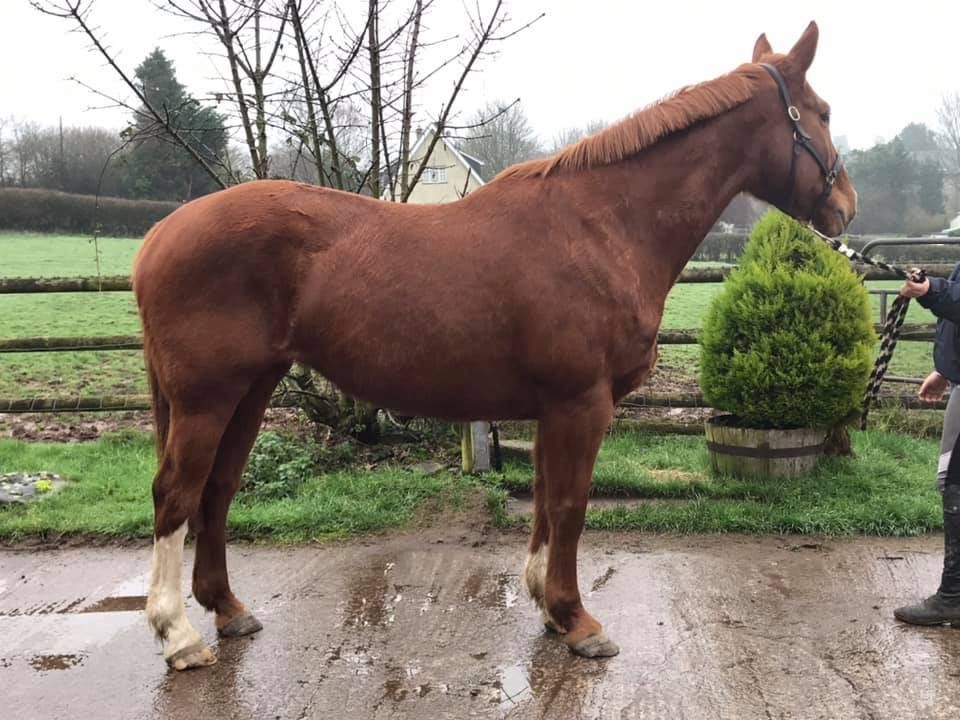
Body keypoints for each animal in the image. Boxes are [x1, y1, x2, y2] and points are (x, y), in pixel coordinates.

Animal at [134, 21, 856, 670]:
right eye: (820, 113)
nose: (845, 206)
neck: (603, 225)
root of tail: (159, 235)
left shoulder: (552, 408)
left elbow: (543, 498)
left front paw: (547, 605)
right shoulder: (581, 403)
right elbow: (569, 504)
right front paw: (577, 619)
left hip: (251, 390)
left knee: (218, 489)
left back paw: (227, 610)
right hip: (207, 397)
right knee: (175, 493)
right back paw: (178, 635)